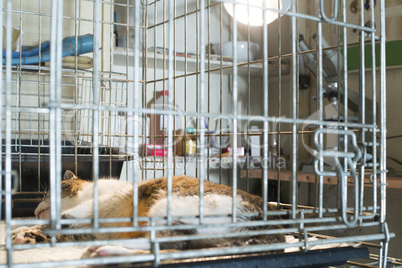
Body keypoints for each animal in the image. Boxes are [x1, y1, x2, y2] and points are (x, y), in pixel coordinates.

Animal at [11, 171, 284, 258]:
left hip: (168, 207)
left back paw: (106, 250)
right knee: (170, 247)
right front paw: (24, 232)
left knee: (166, 246)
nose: (34, 210)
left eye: (53, 191)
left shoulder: (107, 199)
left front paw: (29, 230)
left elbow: (63, 220)